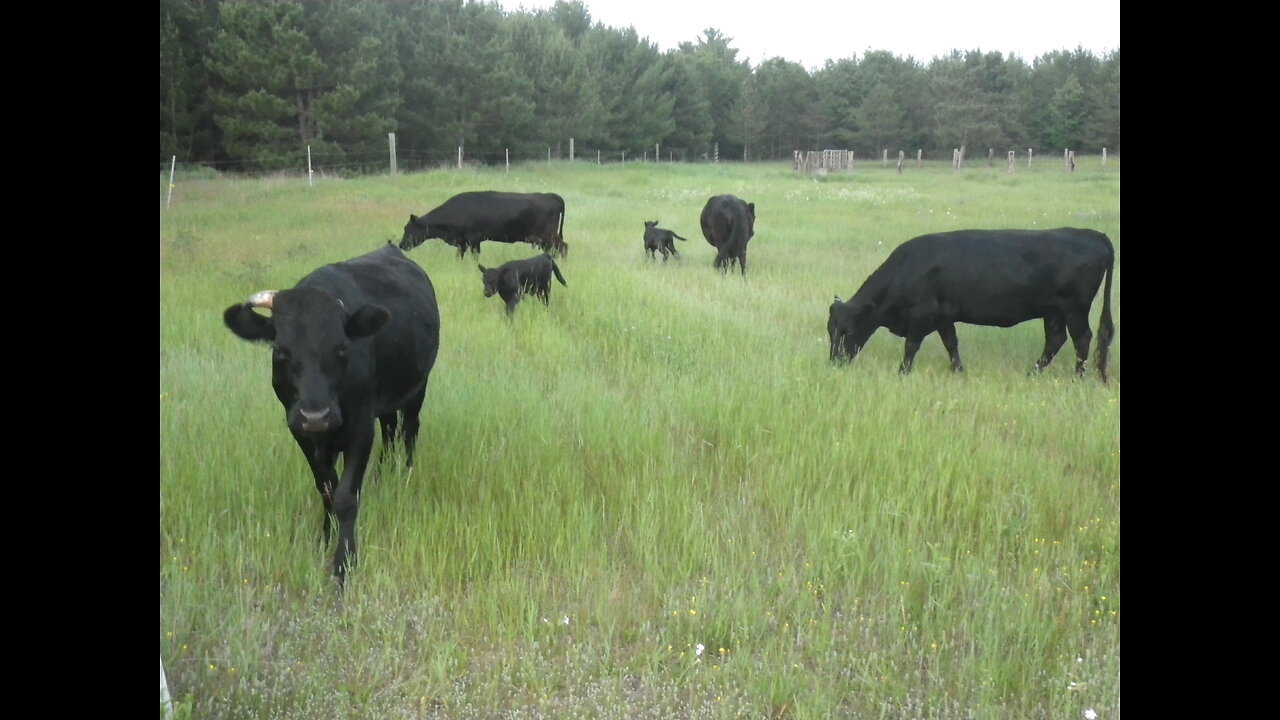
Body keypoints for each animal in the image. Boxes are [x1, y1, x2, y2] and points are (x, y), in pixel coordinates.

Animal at [221, 240, 440, 584]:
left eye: (342, 348)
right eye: (280, 351)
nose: (316, 415)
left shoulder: (360, 428)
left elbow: (346, 497)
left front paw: (343, 563)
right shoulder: (300, 431)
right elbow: (326, 489)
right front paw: (324, 539)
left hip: (417, 386)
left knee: (409, 429)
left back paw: (405, 471)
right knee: (390, 427)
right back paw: (383, 472)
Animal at [394, 190, 565, 257]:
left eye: (408, 229)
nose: (401, 245)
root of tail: (551, 196)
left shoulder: (474, 238)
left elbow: (475, 256)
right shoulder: (462, 242)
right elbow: (460, 256)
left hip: (549, 236)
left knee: (563, 248)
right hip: (545, 240)